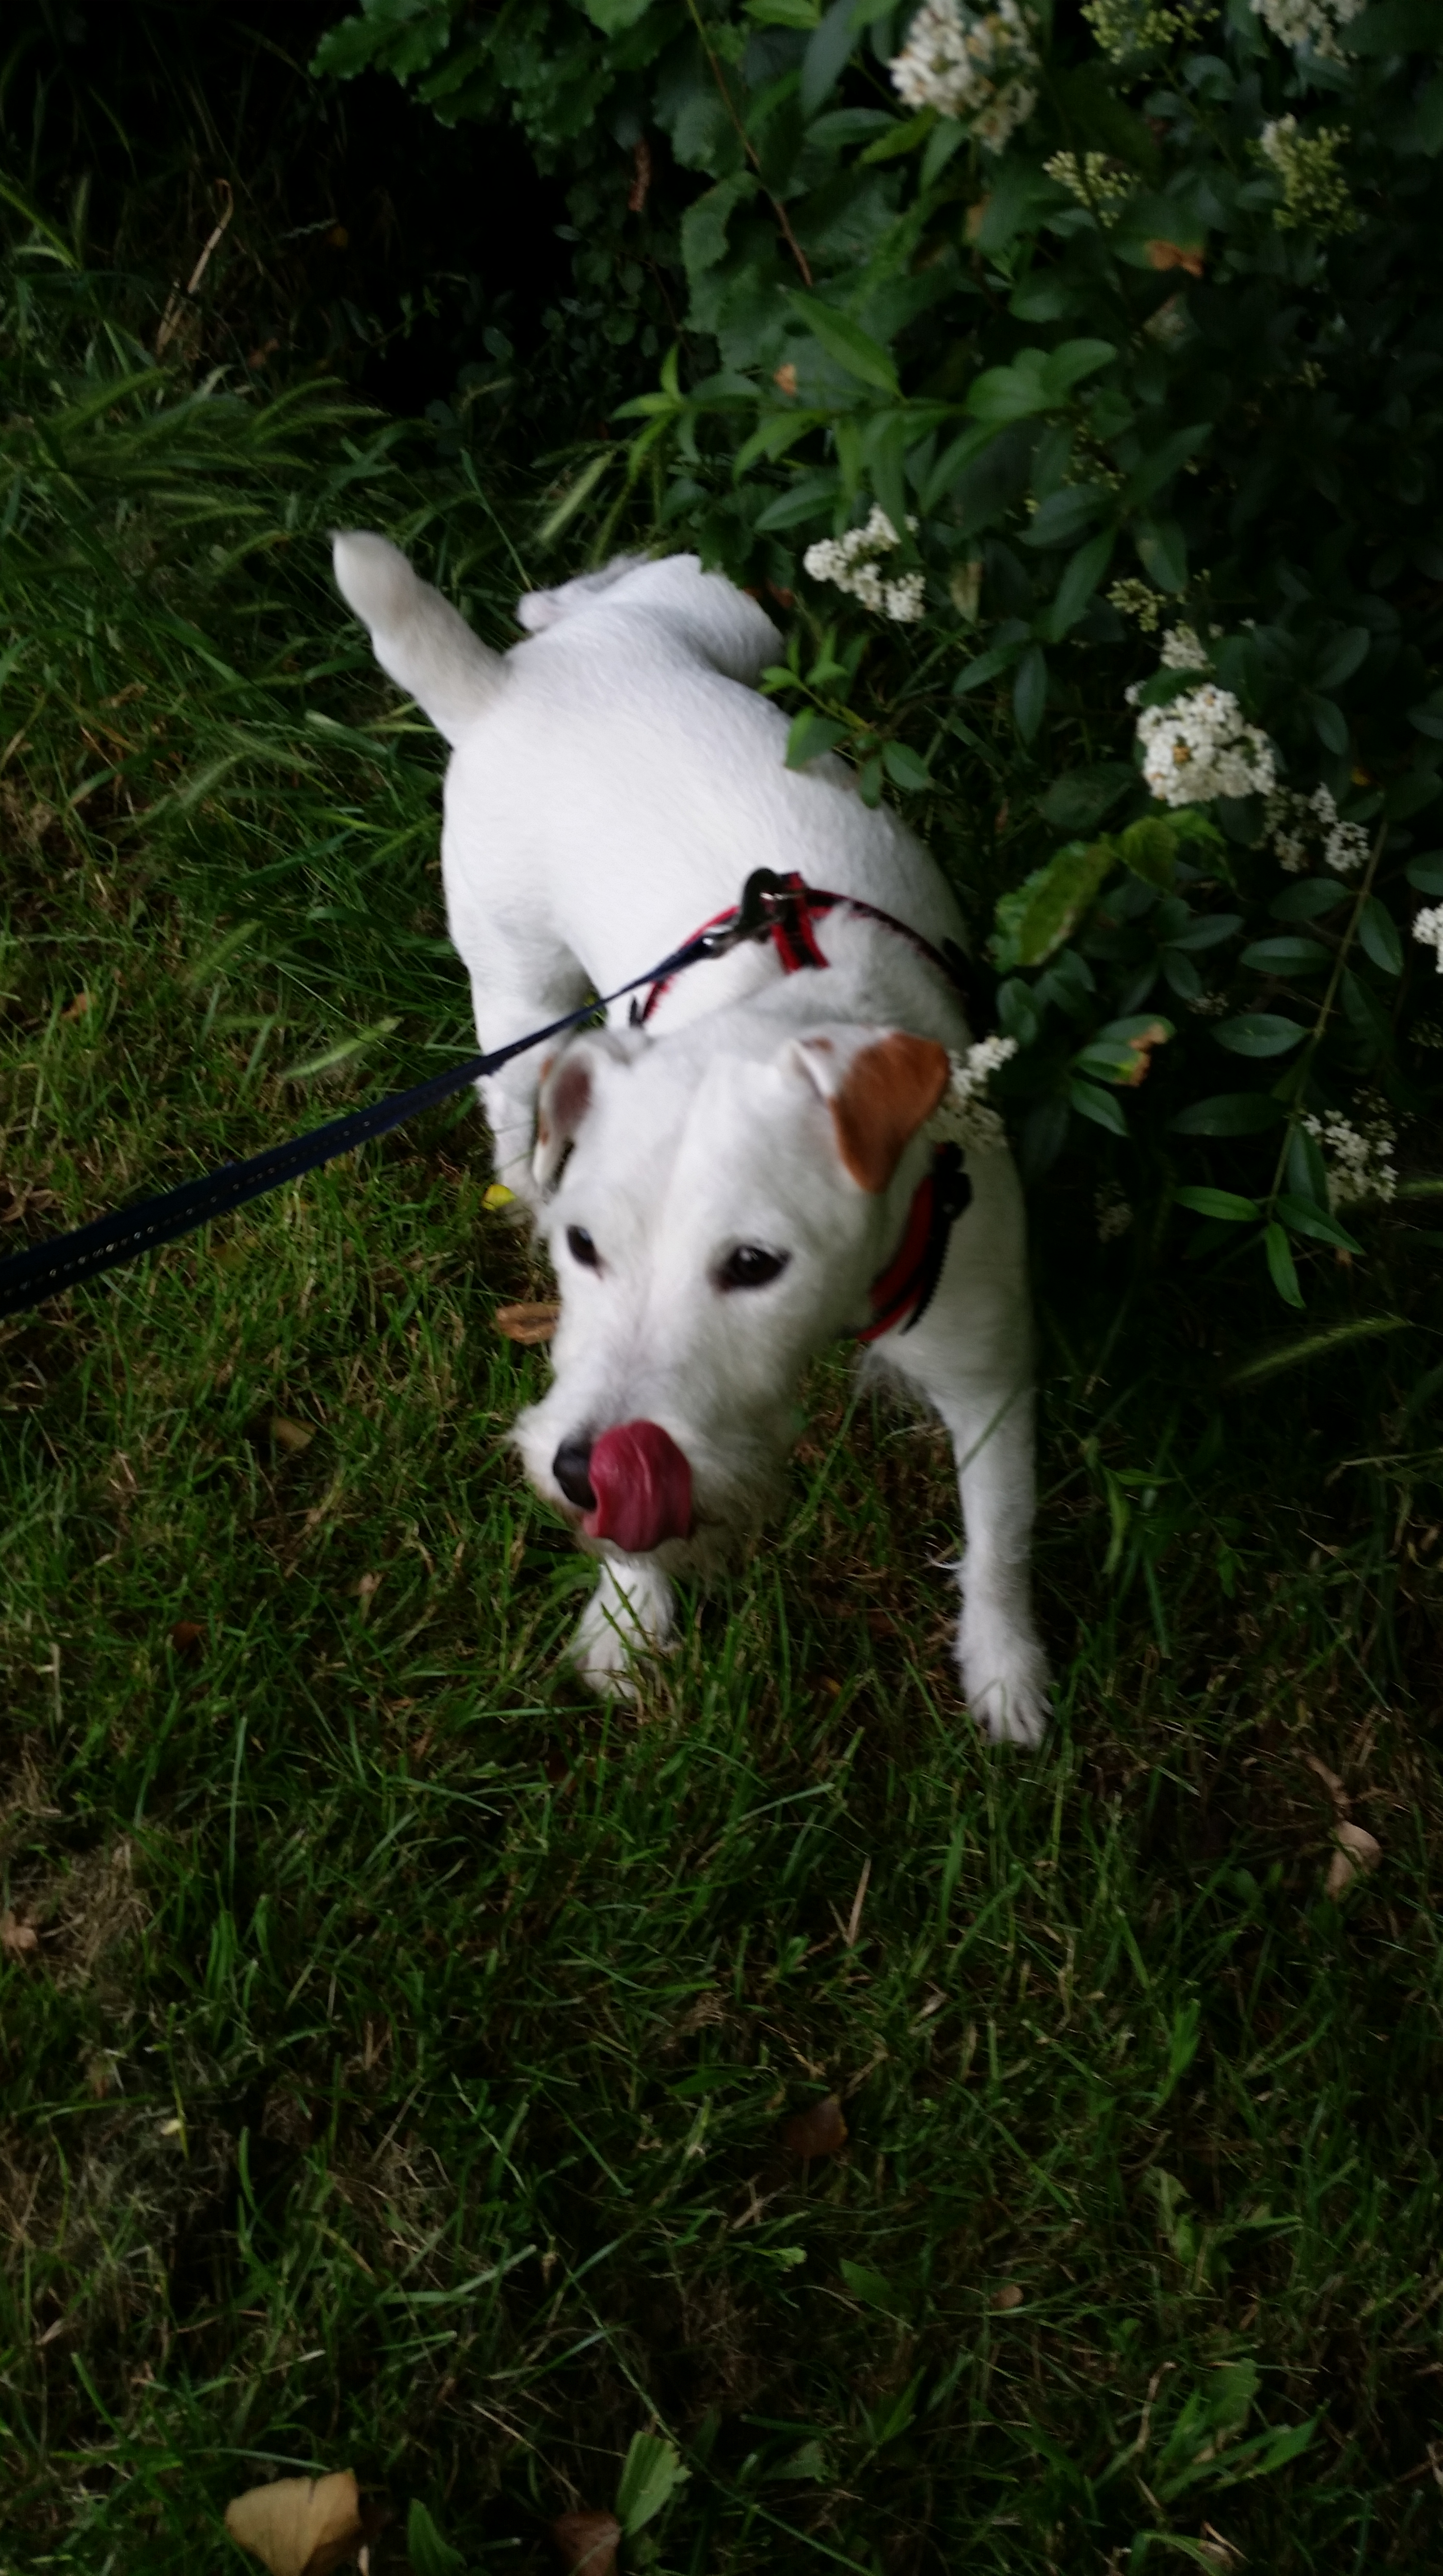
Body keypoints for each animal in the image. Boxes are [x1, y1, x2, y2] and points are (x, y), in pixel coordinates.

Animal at [333, 537, 1049, 1745]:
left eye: (754, 1265)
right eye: (585, 1252)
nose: (582, 1472)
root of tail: (506, 689)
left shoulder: (988, 1363)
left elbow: (1001, 1538)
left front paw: (1006, 1672)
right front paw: (627, 1623)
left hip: (722, 626)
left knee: (605, 593)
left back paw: (566, 595)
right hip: (519, 995)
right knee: (511, 1102)